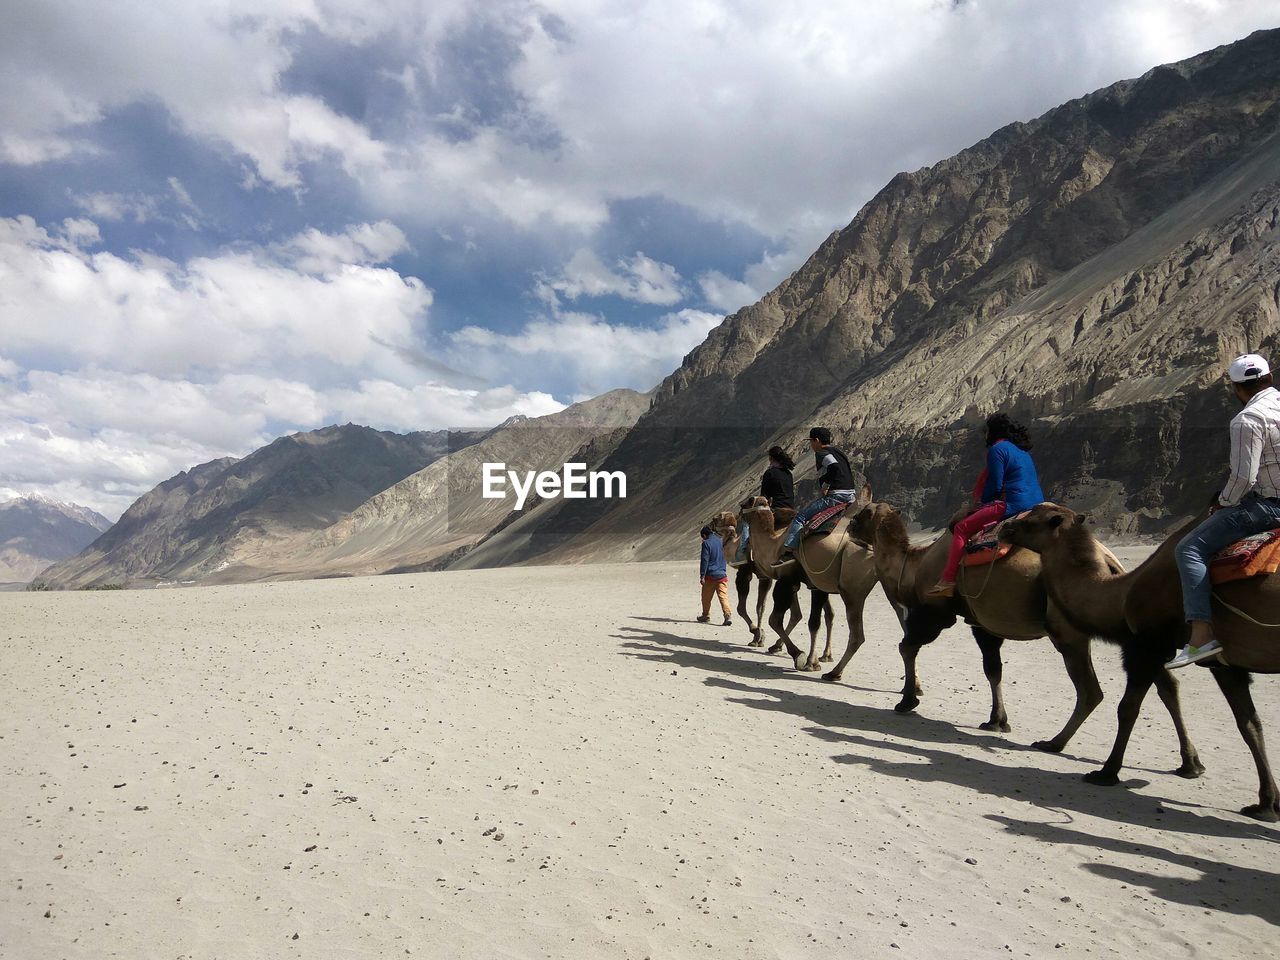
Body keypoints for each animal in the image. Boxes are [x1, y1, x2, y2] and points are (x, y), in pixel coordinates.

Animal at [737, 488, 906, 675]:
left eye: (745, 504)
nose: (739, 512)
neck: (774, 545)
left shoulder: (787, 580)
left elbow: (776, 619)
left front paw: (801, 656)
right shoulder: (815, 585)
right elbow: (814, 622)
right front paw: (813, 660)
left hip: (851, 590)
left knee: (857, 634)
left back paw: (834, 672)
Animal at [855, 499, 1203, 778]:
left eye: (862, 514)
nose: (852, 531)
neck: (914, 565)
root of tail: (1109, 563)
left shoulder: (938, 612)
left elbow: (907, 646)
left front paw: (907, 700)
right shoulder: (981, 623)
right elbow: (993, 670)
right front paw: (997, 721)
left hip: (1070, 634)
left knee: (1091, 690)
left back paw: (1056, 744)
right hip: (1139, 633)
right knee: (1167, 685)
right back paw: (1190, 763)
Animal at [998, 504, 1280, 829]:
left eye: (1033, 521)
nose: (1004, 528)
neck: (1122, 594)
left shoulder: (1147, 647)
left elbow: (1128, 707)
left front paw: (1106, 772)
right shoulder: (1219, 662)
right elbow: (1248, 723)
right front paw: (1265, 803)